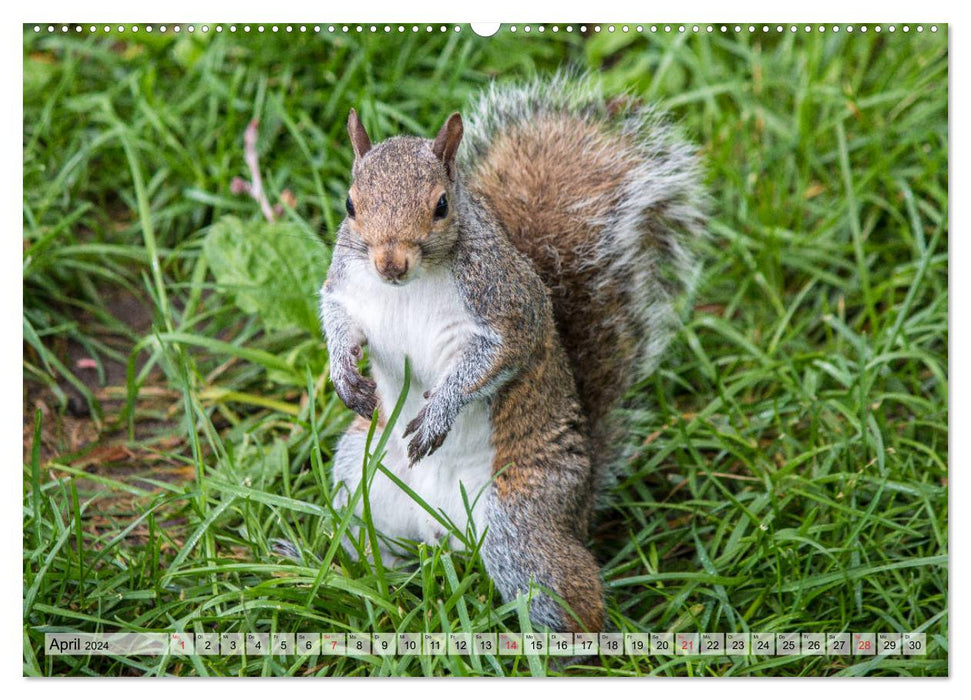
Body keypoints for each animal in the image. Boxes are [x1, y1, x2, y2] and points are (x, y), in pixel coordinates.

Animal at [318, 76, 708, 636]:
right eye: (350, 205)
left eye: (441, 205)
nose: (390, 263)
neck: (409, 286)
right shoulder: (347, 288)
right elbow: (337, 319)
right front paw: (344, 374)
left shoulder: (508, 311)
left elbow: (490, 362)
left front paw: (439, 413)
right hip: (359, 476)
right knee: (375, 553)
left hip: (520, 521)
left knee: (572, 599)